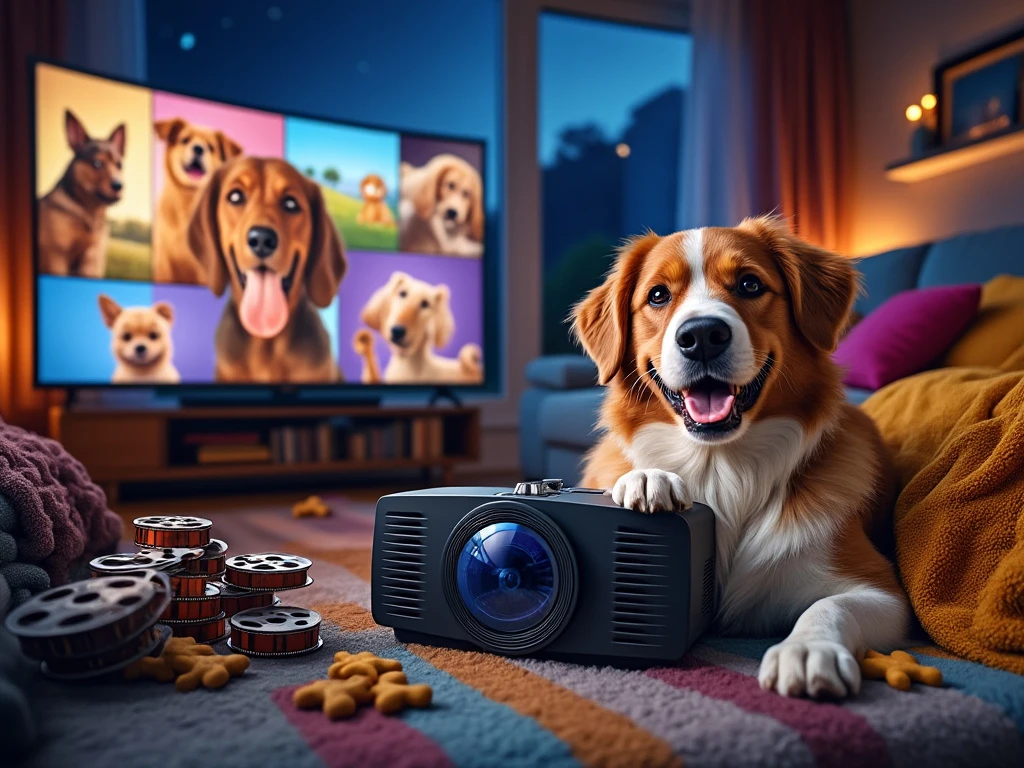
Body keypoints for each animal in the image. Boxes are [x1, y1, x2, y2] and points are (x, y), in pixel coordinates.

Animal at [37, 108, 124, 276]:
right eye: (97, 163)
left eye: (119, 165)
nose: (119, 185)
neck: (89, 213)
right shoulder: (56, 256)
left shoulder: (93, 258)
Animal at [573, 218, 909, 704]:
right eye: (658, 295)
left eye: (750, 284)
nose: (701, 336)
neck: (721, 466)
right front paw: (648, 478)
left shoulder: (882, 590)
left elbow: (829, 605)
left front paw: (808, 650)